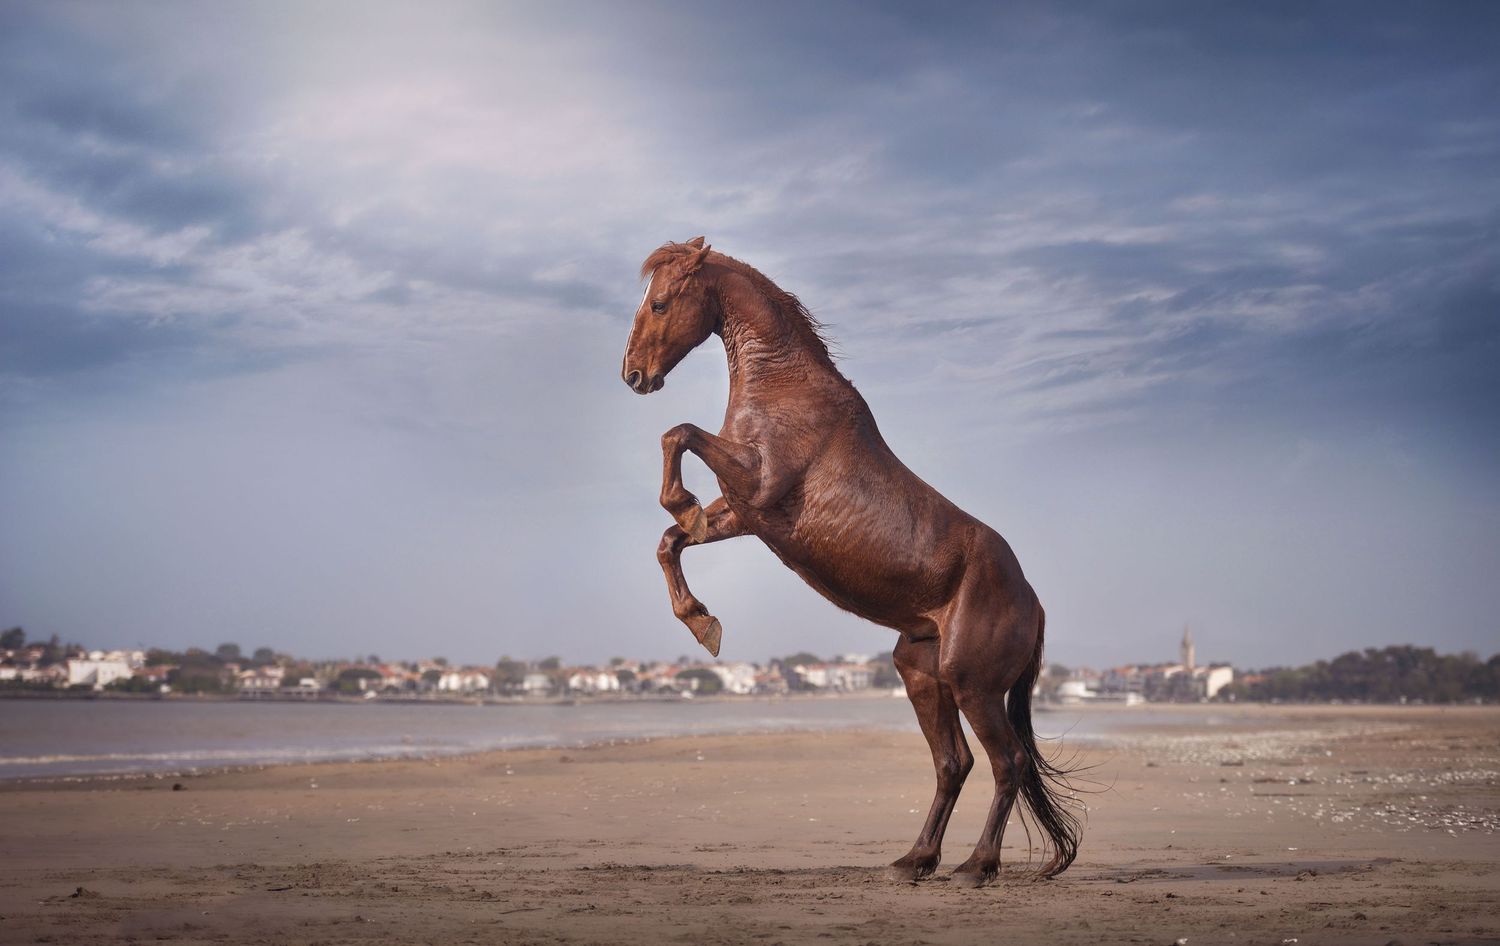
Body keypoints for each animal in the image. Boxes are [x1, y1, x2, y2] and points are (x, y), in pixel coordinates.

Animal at [620, 237, 1081, 888]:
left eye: (659, 303)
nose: (634, 375)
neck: (784, 385)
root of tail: (1033, 603)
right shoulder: (746, 514)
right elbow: (671, 539)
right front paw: (703, 621)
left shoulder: (758, 485)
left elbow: (678, 434)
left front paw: (682, 506)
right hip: (921, 675)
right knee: (954, 763)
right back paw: (915, 861)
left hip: (974, 686)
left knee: (1006, 763)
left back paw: (976, 866)